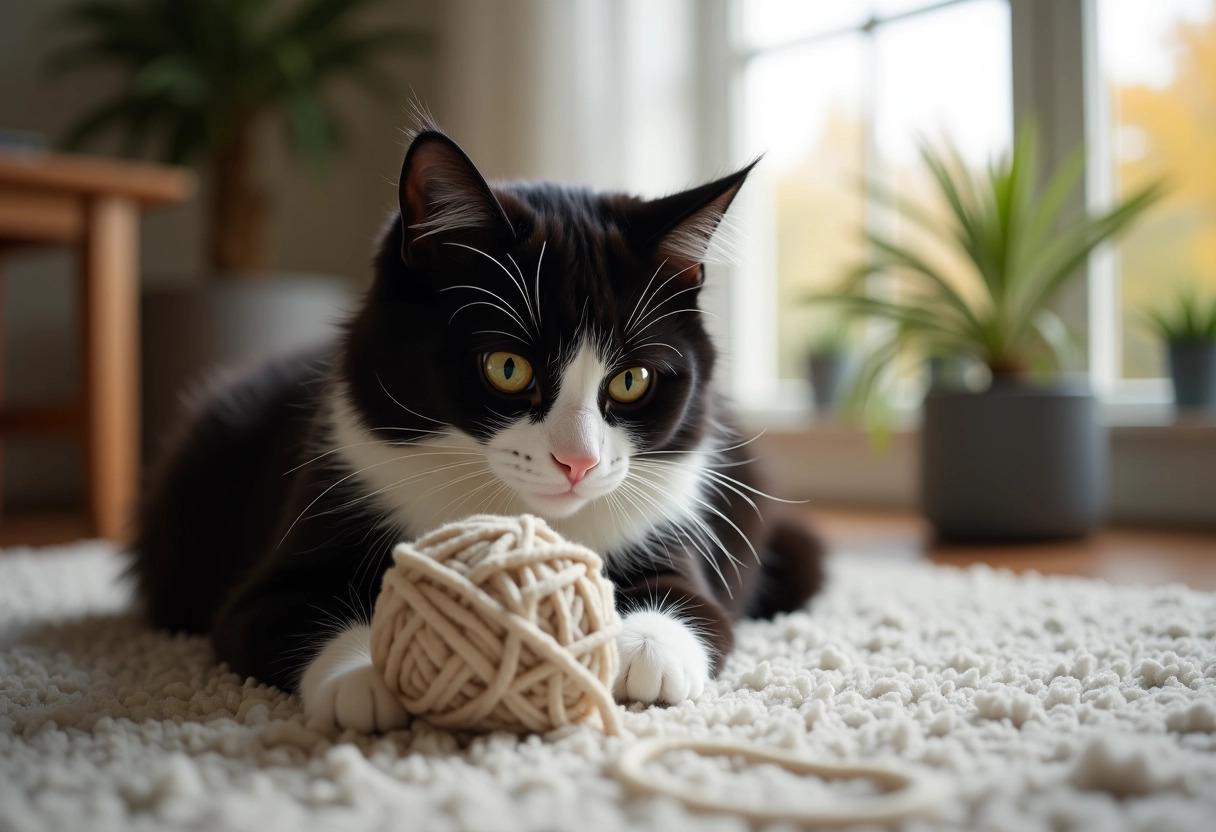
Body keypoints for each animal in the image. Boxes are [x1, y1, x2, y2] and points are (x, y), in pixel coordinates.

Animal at [128, 120, 822, 729]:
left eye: (631, 381)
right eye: (507, 367)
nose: (578, 462)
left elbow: (699, 601)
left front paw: (648, 650)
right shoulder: (313, 511)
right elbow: (279, 609)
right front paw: (365, 674)